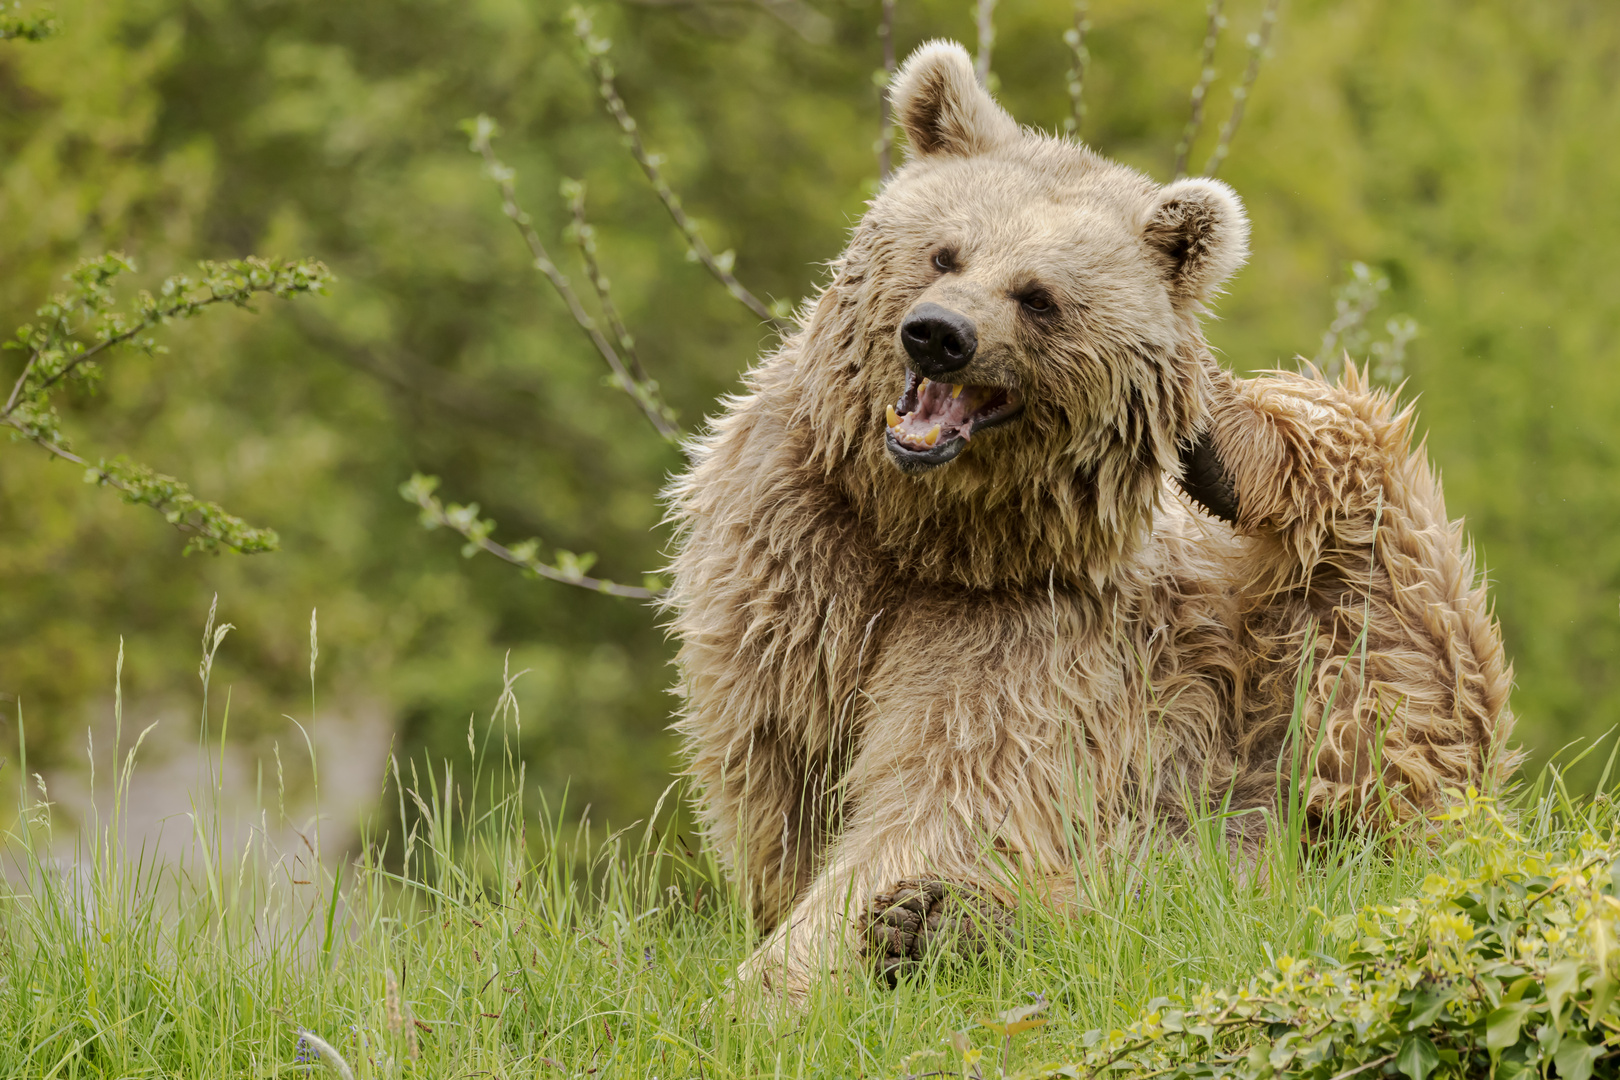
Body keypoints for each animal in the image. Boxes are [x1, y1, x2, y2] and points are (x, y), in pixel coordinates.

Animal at [660, 42, 1516, 1003]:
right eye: (942, 252)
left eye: (1038, 295)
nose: (938, 334)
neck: (932, 533)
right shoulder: (790, 570)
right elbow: (789, 788)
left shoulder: (1039, 629)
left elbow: (948, 793)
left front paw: (781, 977)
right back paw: (949, 928)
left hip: (1331, 703)